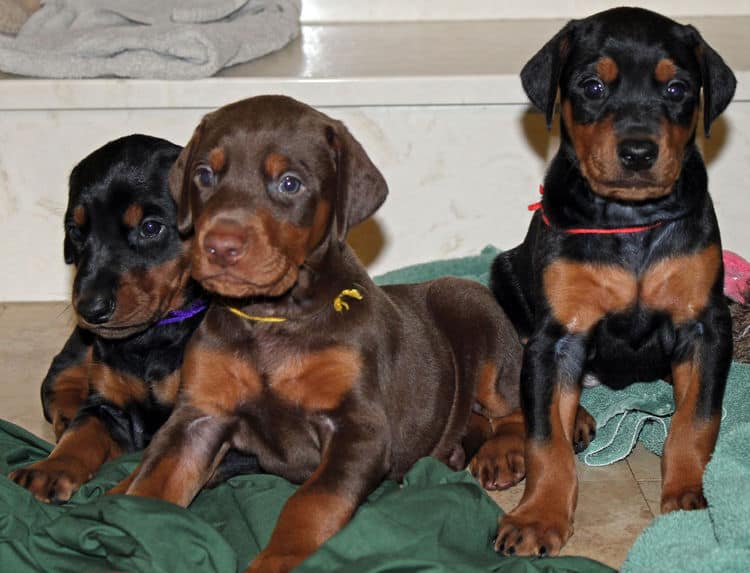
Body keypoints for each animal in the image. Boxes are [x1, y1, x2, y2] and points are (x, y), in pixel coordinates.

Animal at [110, 96, 528, 568]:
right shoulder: (201, 415)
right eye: (204, 175)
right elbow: (151, 488)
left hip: (470, 310)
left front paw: (275, 560)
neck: (271, 316)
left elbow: (311, 502)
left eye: (289, 183)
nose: (219, 247)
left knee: (514, 404)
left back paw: (502, 451)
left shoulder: (359, 428)